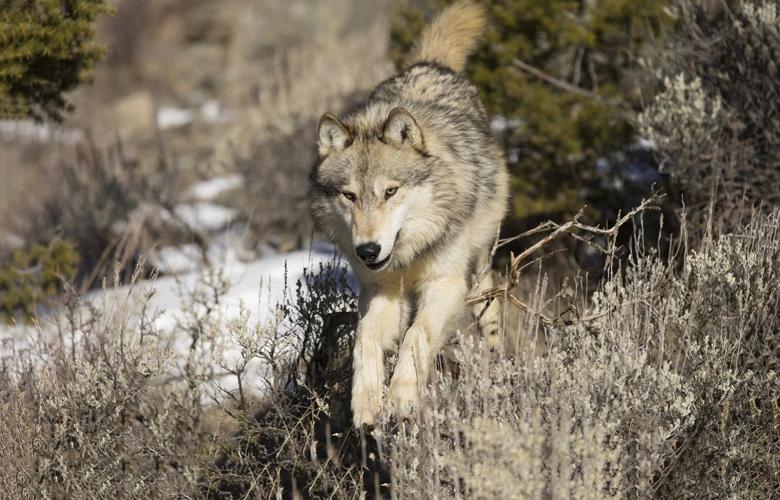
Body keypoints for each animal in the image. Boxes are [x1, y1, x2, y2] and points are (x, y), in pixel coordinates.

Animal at [308, 0, 508, 426]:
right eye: (350, 196)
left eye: (390, 191)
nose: (367, 250)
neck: (409, 255)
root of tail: (428, 64)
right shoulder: (380, 291)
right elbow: (364, 339)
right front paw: (366, 401)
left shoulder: (445, 282)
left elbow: (417, 335)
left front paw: (402, 397)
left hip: (479, 270)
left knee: (490, 312)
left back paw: (496, 364)